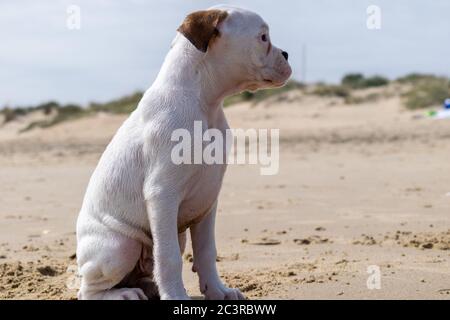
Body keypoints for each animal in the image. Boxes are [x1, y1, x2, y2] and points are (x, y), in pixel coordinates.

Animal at [76, 5, 292, 300]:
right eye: (262, 37)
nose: (287, 54)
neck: (205, 102)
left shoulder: (208, 200)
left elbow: (206, 251)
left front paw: (217, 290)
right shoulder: (162, 195)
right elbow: (168, 258)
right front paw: (177, 297)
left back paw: (148, 287)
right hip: (119, 246)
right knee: (88, 289)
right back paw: (122, 294)